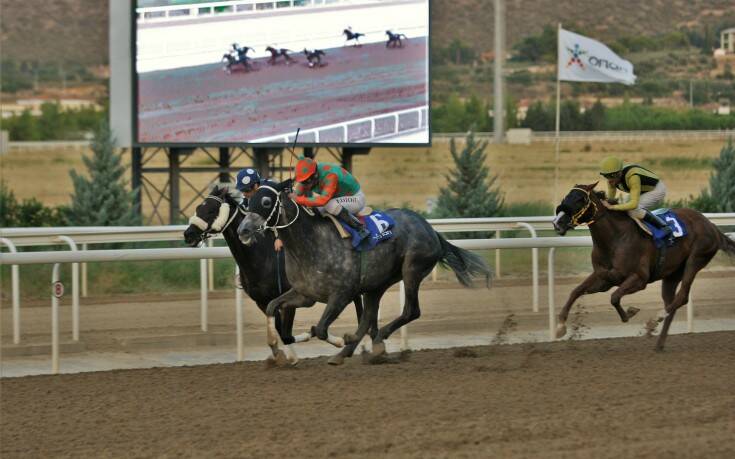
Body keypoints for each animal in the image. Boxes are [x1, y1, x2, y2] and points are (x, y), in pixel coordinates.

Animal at [236, 185, 492, 364]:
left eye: (266, 201)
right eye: (248, 202)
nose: (243, 230)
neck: (310, 243)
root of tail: (431, 229)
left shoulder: (341, 294)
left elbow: (321, 329)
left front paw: (341, 339)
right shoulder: (304, 294)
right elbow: (272, 307)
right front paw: (275, 347)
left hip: (412, 269)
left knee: (411, 311)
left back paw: (374, 341)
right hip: (376, 283)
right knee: (369, 316)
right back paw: (351, 352)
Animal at [556, 181, 732, 350]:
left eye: (580, 199)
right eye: (566, 196)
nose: (558, 222)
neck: (616, 239)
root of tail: (712, 226)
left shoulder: (639, 279)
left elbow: (614, 297)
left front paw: (630, 312)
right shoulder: (604, 278)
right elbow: (576, 291)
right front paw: (560, 326)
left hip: (695, 259)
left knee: (682, 296)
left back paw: (655, 319)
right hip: (672, 274)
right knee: (671, 303)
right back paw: (659, 342)